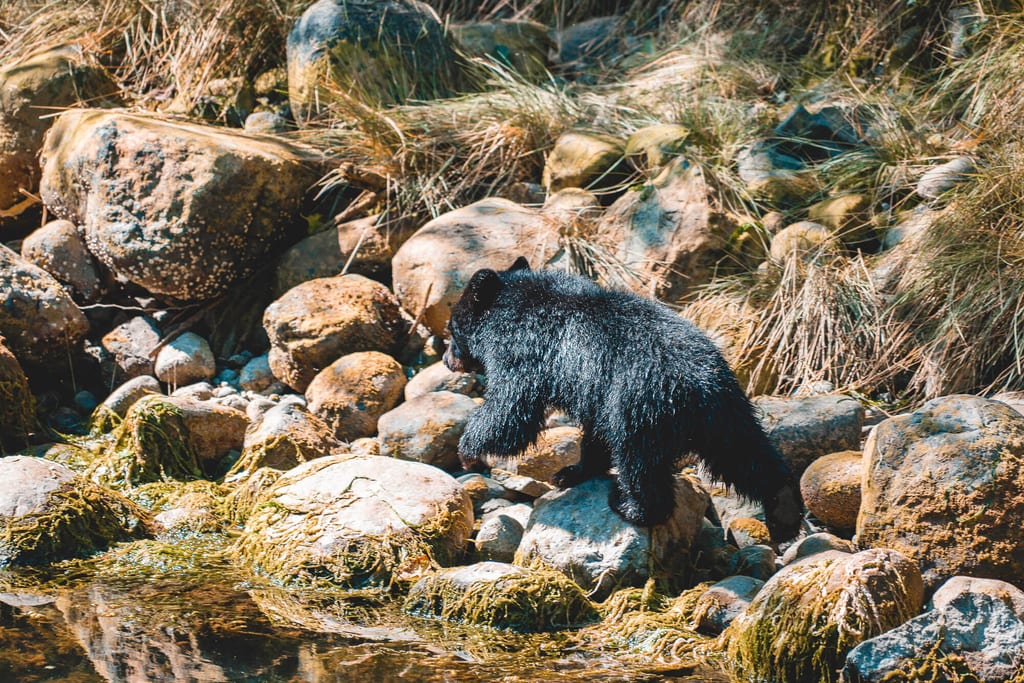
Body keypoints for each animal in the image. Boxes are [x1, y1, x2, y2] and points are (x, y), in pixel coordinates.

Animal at [443, 257, 802, 543]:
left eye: (451, 330)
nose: (447, 361)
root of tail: (701, 384)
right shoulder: (595, 390)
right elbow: (592, 433)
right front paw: (570, 472)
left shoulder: (524, 353)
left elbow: (510, 412)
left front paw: (468, 452)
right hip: (726, 416)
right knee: (745, 456)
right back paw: (784, 512)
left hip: (641, 409)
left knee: (639, 464)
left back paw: (629, 507)